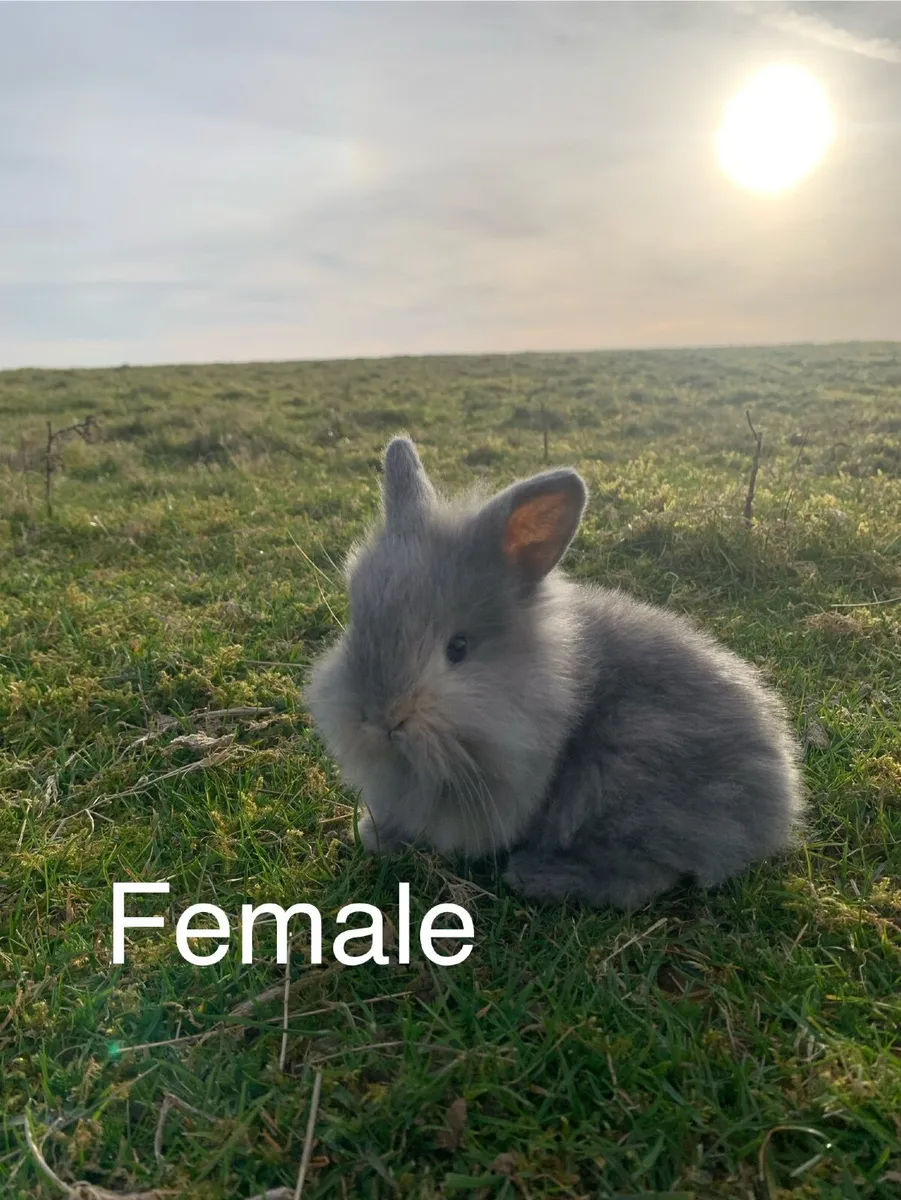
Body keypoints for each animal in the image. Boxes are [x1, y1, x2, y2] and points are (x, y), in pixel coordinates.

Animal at [305, 435, 807, 909]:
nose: (381, 718)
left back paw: (536, 875)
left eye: (459, 648)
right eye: (356, 623)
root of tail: (780, 796)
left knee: (644, 875)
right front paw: (375, 832)